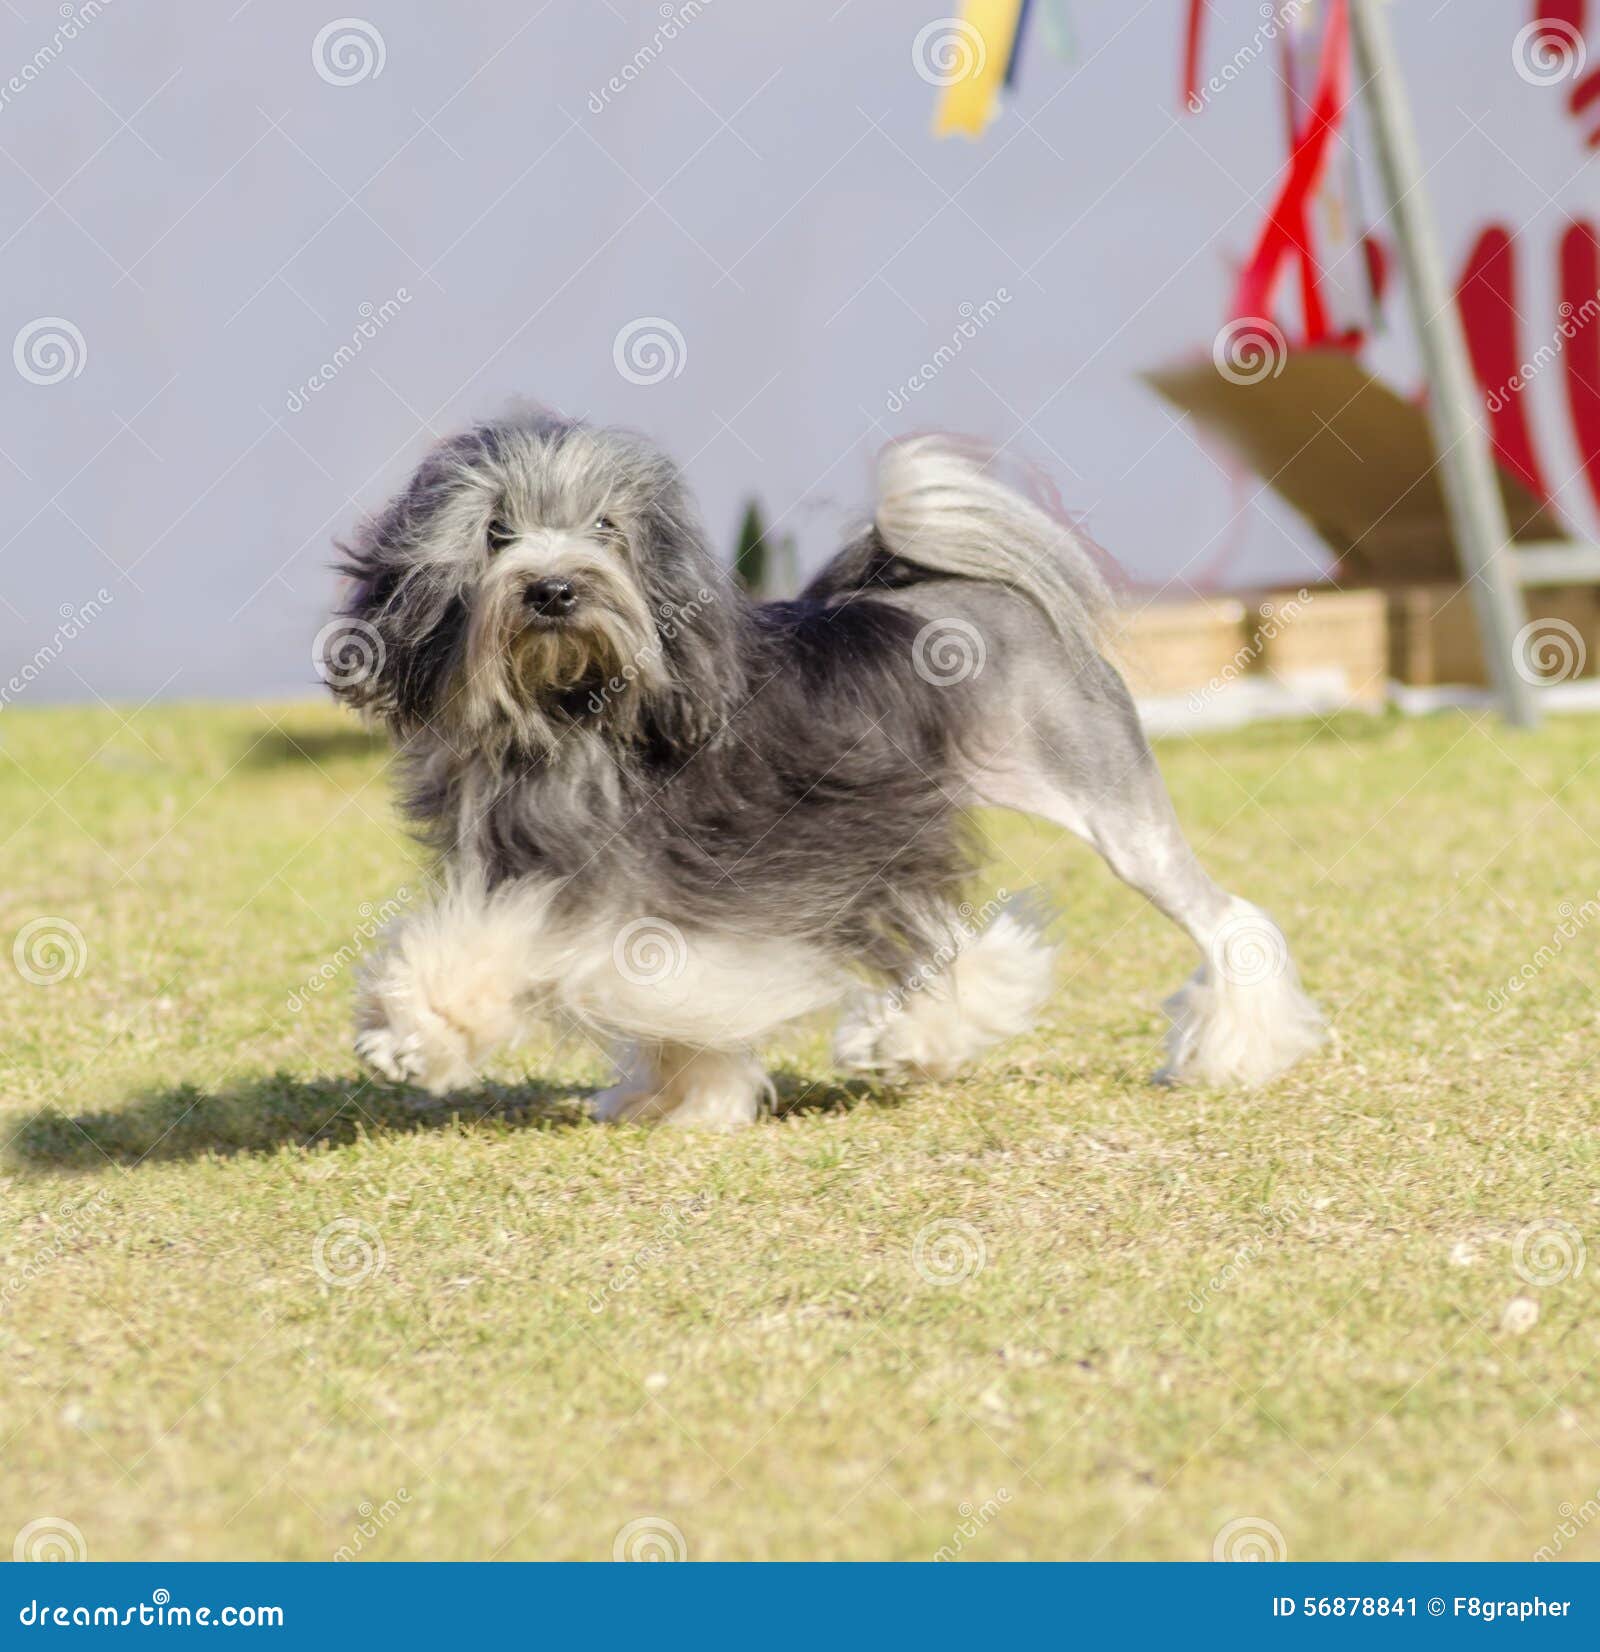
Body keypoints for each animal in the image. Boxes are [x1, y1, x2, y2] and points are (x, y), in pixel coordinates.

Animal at [328, 408, 1320, 1129]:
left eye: (604, 527)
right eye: (496, 531)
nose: (553, 589)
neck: (571, 709)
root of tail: (947, 591)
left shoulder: (650, 884)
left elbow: (541, 950)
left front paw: (413, 1030)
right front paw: (684, 1097)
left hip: (1102, 800)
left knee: (1224, 918)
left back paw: (1227, 1050)